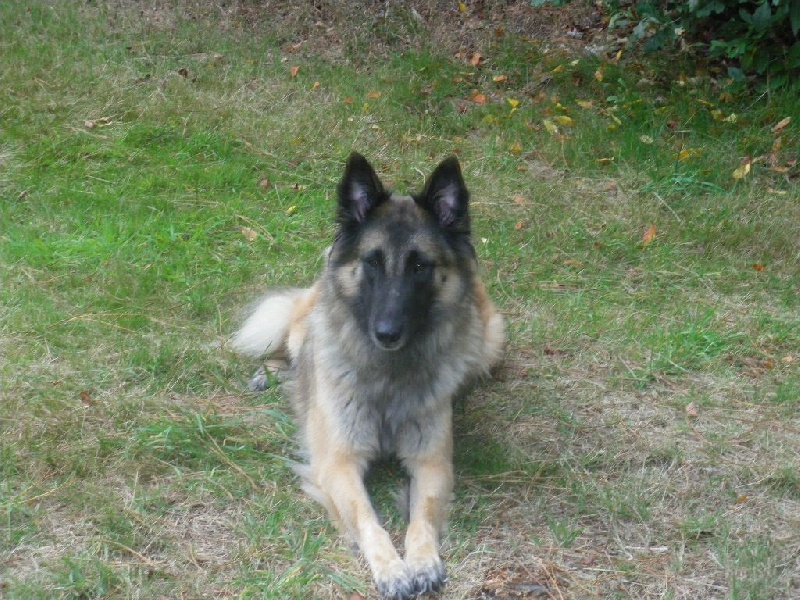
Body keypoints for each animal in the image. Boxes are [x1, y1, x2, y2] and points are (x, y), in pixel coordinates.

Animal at [231, 153, 504, 598]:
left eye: (420, 266)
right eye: (372, 262)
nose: (387, 333)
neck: (388, 377)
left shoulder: (432, 462)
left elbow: (423, 515)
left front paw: (422, 561)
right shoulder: (338, 463)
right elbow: (367, 518)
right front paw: (392, 570)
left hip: (489, 343)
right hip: (304, 331)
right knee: (291, 345)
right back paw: (270, 375)